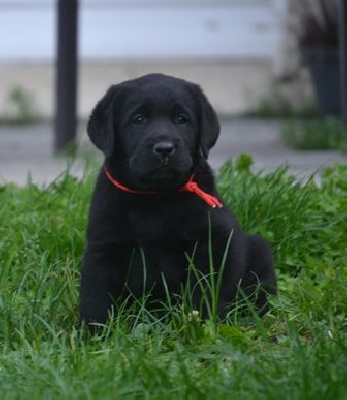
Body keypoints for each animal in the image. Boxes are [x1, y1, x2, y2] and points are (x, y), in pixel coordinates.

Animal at [79, 72, 278, 328]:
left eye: (182, 119)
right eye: (138, 119)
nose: (164, 148)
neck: (155, 197)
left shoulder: (211, 241)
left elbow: (203, 288)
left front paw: (202, 323)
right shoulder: (103, 246)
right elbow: (95, 295)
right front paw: (94, 332)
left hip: (258, 250)